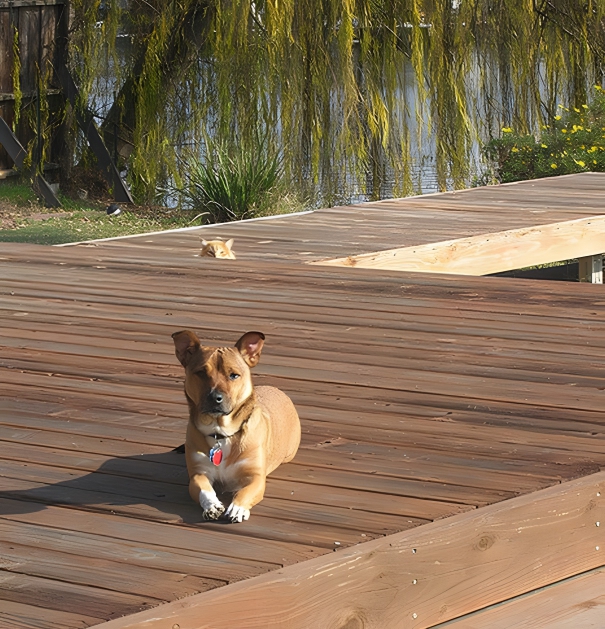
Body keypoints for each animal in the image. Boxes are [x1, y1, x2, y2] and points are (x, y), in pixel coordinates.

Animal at [172, 330, 300, 522]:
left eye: (234, 375)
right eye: (201, 373)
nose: (215, 397)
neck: (221, 432)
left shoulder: (255, 477)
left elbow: (245, 492)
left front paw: (238, 508)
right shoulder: (198, 473)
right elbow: (204, 489)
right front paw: (212, 505)